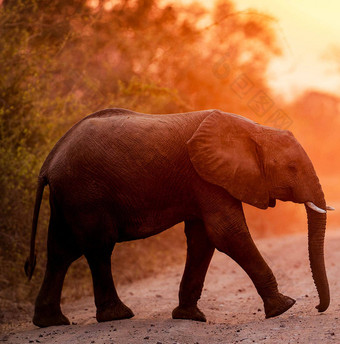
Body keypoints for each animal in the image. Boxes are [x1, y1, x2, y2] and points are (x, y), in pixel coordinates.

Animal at [25, 108, 334, 328]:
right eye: (291, 167)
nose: (318, 308)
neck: (253, 128)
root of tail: (49, 162)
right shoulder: (205, 176)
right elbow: (227, 232)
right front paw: (285, 306)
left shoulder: (204, 179)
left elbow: (203, 238)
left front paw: (189, 317)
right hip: (86, 192)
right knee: (99, 247)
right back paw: (117, 316)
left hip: (68, 196)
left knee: (61, 251)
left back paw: (51, 322)